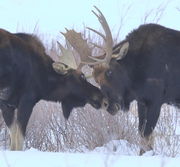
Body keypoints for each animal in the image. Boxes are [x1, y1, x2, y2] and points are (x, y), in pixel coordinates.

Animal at [61, 6, 180, 155]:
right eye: (96, 80)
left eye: (110, 71)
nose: (109, 106)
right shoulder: (142, 101)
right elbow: (142, 134)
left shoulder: (156, 100)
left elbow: (147, 135)